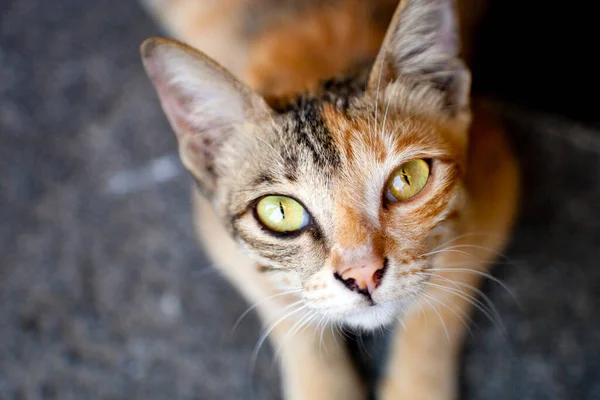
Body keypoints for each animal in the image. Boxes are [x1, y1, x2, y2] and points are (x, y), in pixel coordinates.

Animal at [138, 0, 516, 398]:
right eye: (280, 211)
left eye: (408, 178)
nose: (362, 274)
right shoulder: (215, 233)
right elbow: (286, 312)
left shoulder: (497, 172)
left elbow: (443, 294)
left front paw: (415, 388)